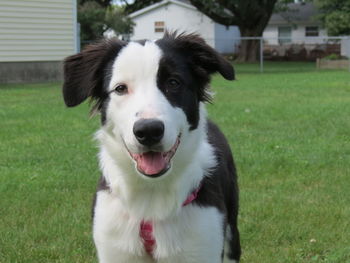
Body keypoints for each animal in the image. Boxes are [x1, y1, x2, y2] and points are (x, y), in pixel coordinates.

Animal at [62, 32, 241, 262]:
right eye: (120, 88)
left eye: (173, 82)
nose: (148, 131)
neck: (151, 194)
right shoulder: (113, 245)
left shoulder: (203, 243)